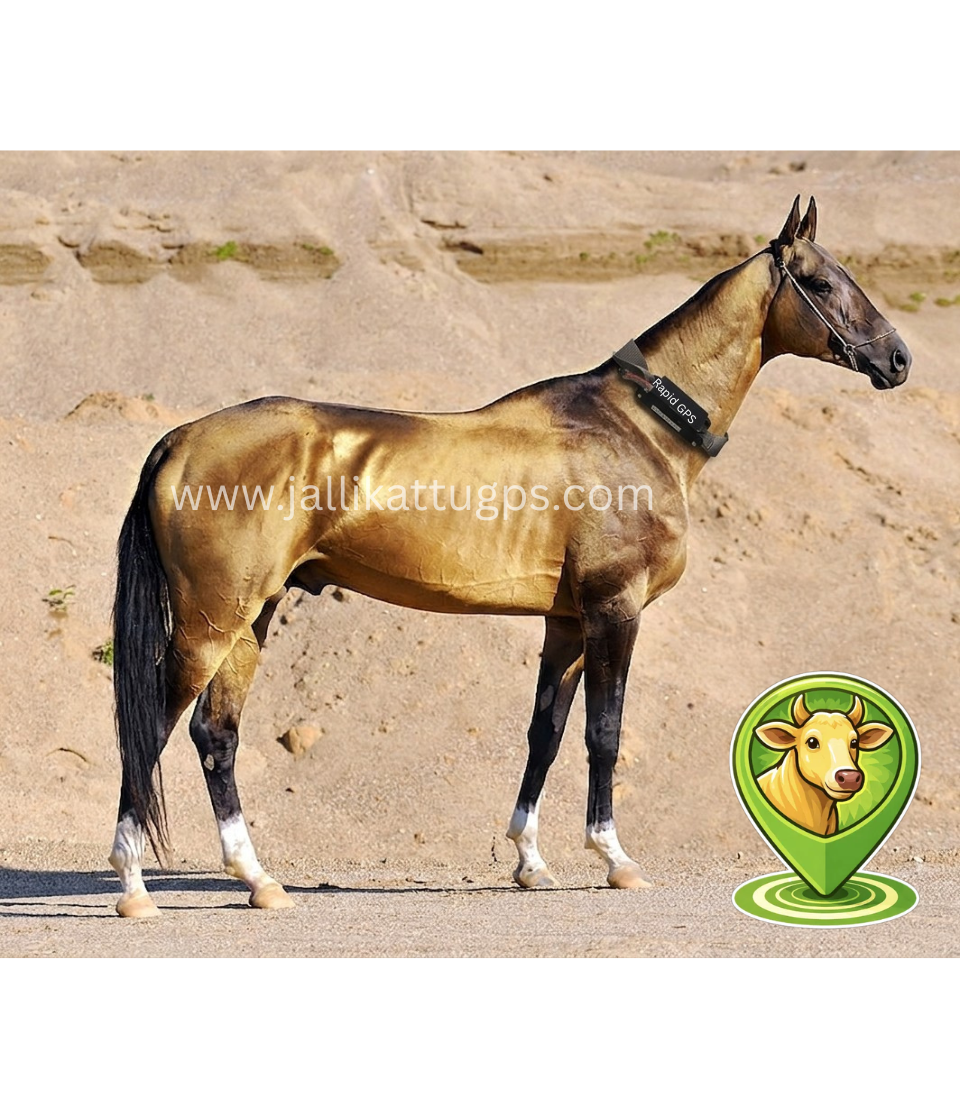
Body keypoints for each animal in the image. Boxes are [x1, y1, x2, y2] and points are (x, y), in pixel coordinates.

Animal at [109, 196, 911, 917]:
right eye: (824, 283)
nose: (897, 358)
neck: (640, 427)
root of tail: (179, 439)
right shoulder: (614, 609)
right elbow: (603, 734)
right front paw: (614, 859)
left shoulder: (567, 622)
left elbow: (545, 734)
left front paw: (529, 860)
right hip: (211, 622)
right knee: (152, 727)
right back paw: (134, 888)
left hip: (252, 616)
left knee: (216, 733)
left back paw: (259, 880)